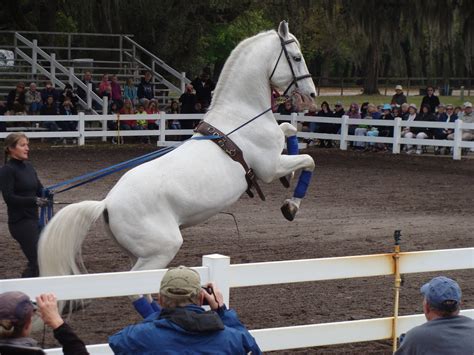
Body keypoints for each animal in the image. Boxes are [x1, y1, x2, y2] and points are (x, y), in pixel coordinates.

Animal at [39, 21, 316, 278]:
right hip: (161, 251)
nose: (312, 94)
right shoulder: (270, 168)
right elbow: (308, 159)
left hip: (139, 254)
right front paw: (291, 206)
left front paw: (289, 178)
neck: (240, 117)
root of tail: (106, 204)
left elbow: (289, 129)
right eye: (296, 57)